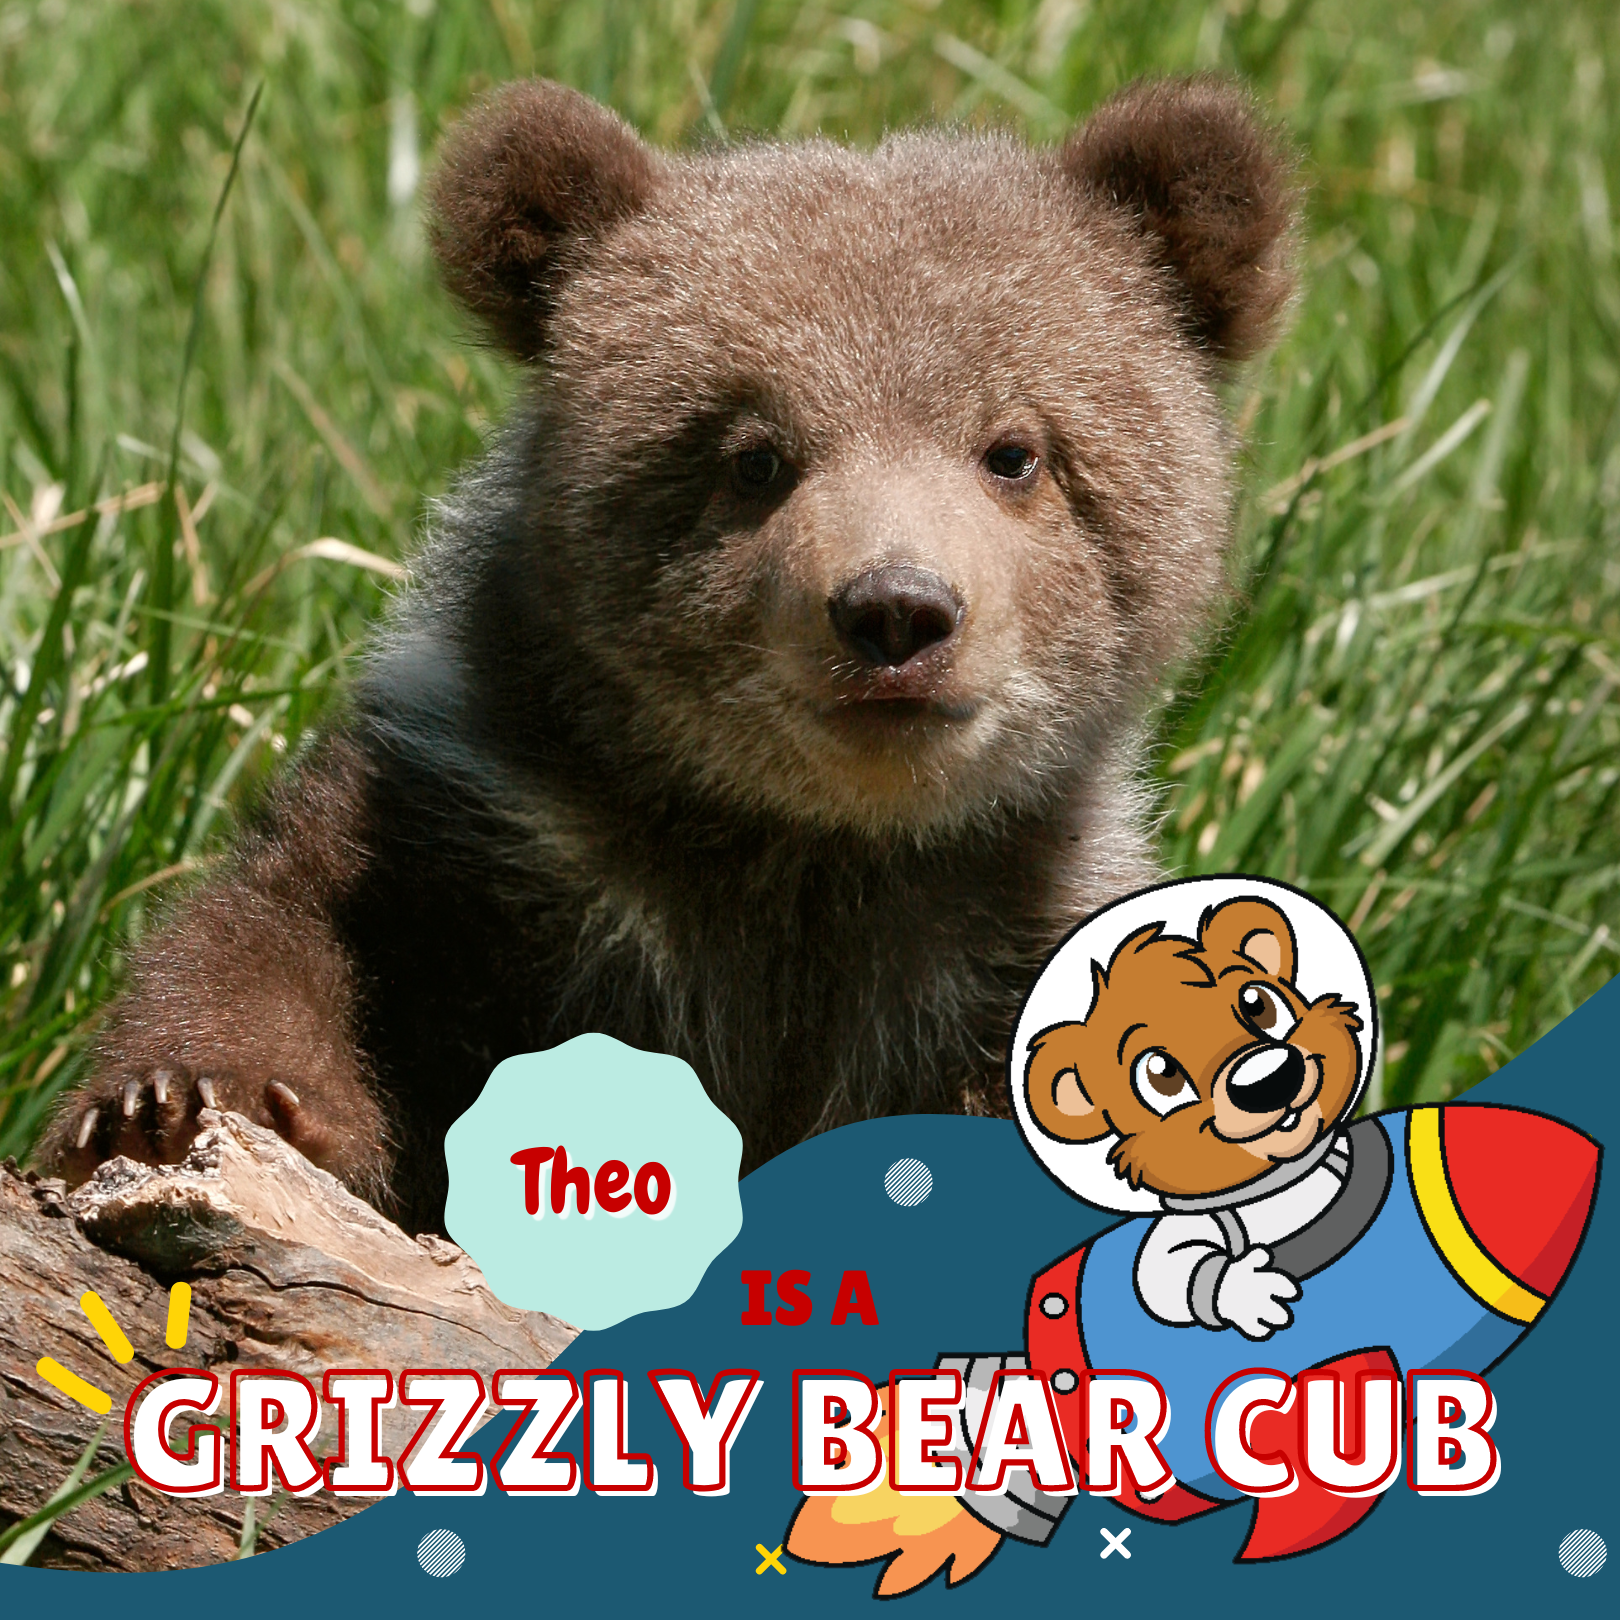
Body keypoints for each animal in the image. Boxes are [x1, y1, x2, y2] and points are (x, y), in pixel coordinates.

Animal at [36, 76, 1299, 1237]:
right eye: (753, 455)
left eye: (1016, 451)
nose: (894, 612)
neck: (812, 847)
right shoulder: (487, 833)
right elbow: (290, 933)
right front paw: (170, 1102)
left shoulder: (995, 935)